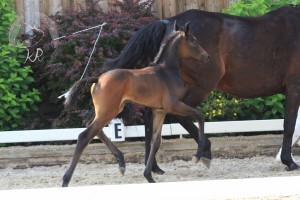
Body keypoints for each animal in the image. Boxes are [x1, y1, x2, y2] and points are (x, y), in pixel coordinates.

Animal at [62, 22, 210, 186]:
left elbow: (155, 141)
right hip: (109, 112)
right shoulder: (174, 106)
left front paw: (149, 176)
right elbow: (200, 116)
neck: (167, 71)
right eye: (194, 41)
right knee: (84, 136)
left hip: (108, 111)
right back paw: (66, 180)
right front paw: (198, 156)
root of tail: (98, 79)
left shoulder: (159, 111)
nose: (206, 56)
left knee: (92, 127)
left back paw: (121, 162)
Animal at [101, 5, 300, 172]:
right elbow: (289, 124)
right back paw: (204, 151)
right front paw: (289, 161)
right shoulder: (294, 87)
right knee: (179, 114)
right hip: (202, 85)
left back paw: (154, 167)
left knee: (153, 117)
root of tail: (168, 22)